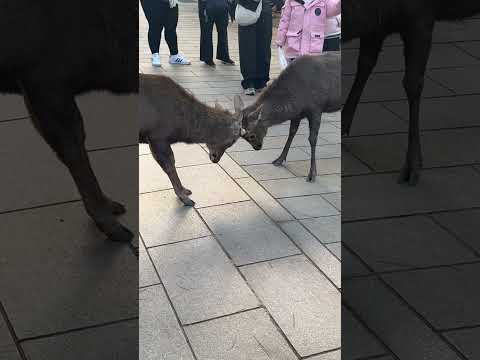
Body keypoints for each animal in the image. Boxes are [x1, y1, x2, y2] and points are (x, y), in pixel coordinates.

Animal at [139, 74, 244, 205]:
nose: (215, 158)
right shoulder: (157, 136)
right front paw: (184, 198)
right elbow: (169, 164)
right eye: (232, 141)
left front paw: (185, 190)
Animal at [236, 52, 342, 181]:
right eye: (242, 137)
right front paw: (279, 160)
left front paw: (312, 173)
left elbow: (312, 139)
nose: (258, 147)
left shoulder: (316, 108)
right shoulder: (297, 114)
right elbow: (291, 132)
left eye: (252, 135)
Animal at [342, 0, 480, 184]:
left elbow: (412, 83)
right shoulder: (376, 25)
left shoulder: (421, 18)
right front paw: (343, 128)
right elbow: (365, 63)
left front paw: (412, 167)